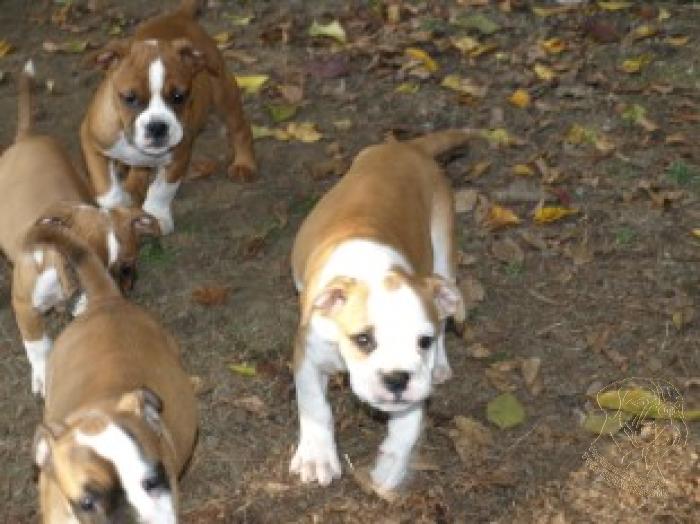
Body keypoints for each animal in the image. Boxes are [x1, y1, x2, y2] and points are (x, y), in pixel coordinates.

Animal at [0, 61, 160, 396]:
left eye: (127, 268)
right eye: (79, 267)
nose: (108, 294)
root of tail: (27, 138)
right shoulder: (24, 305)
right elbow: (38, 344)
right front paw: (42, 374)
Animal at [80, 0, 256, 235]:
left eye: (179, 96)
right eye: (129, 98)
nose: (157, 127)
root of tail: (179, 15)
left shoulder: (179, 155)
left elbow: (162, 190)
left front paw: (156, 216)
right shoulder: (91, 142)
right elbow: (107, 189)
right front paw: (119, 210)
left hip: (224, 95)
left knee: (240, 128)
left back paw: (245, 163)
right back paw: (133, 184)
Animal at [290, 130, 471, 493]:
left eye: (423, 342)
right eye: (363, 340)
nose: (396, 379)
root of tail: (406, 146)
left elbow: (408, 424)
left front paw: (391, 465)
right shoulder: (306, 353)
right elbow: (313, 404)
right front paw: (317, 457)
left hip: (444, 252)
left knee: (446, 319)